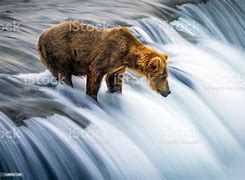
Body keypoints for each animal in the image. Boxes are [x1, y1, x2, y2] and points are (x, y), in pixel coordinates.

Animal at [37, 21, 170, 100]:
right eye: (163, 76)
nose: (168, 92)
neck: (127, 55)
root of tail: (41, 36)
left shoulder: (118, 67)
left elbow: (114, 80)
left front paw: (115, 93)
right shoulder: (106, 56)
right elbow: (95, 76)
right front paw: (92, 98)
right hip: (60, 52)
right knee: (64, 74)